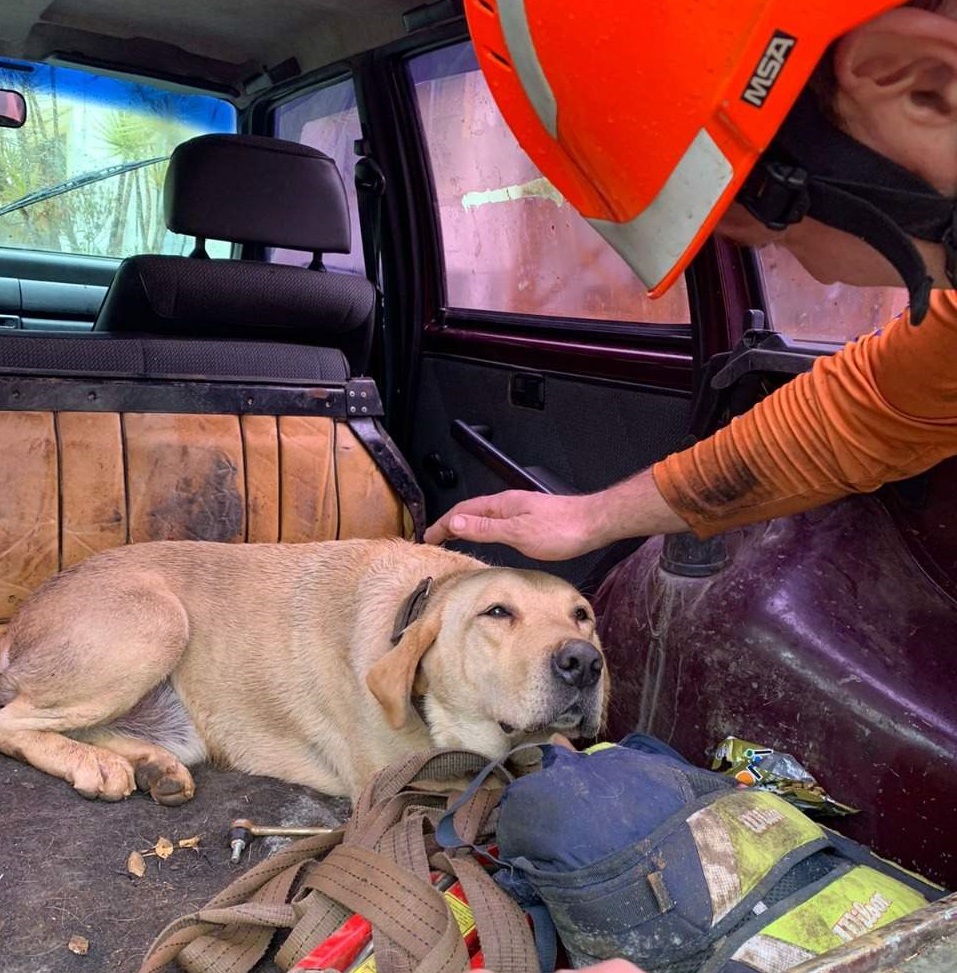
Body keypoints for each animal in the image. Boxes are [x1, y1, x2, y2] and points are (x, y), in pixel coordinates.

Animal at [0, 536, 604, 800]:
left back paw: (150, 765)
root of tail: (21, 616)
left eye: (583, 616)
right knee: (13, 720)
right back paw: (93, 765)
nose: (583, 663)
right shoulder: (393, 788)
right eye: (497, 612)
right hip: (158, 622)